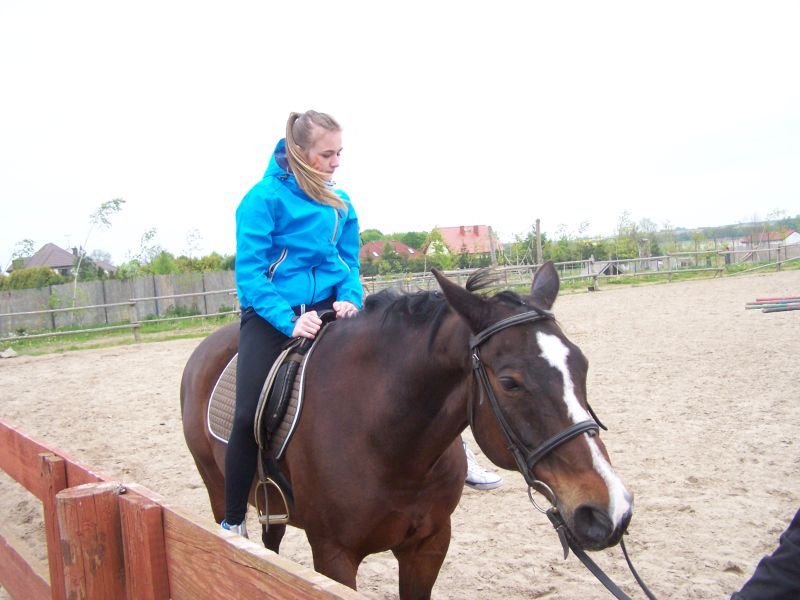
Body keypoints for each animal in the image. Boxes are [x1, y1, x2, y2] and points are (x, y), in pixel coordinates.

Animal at [180, 261, 633, 599]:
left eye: (582, 365)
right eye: (510, 382)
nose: (610, 510)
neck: (388, 444)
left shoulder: (427, 547)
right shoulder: (333, 556)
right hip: (220, 490)